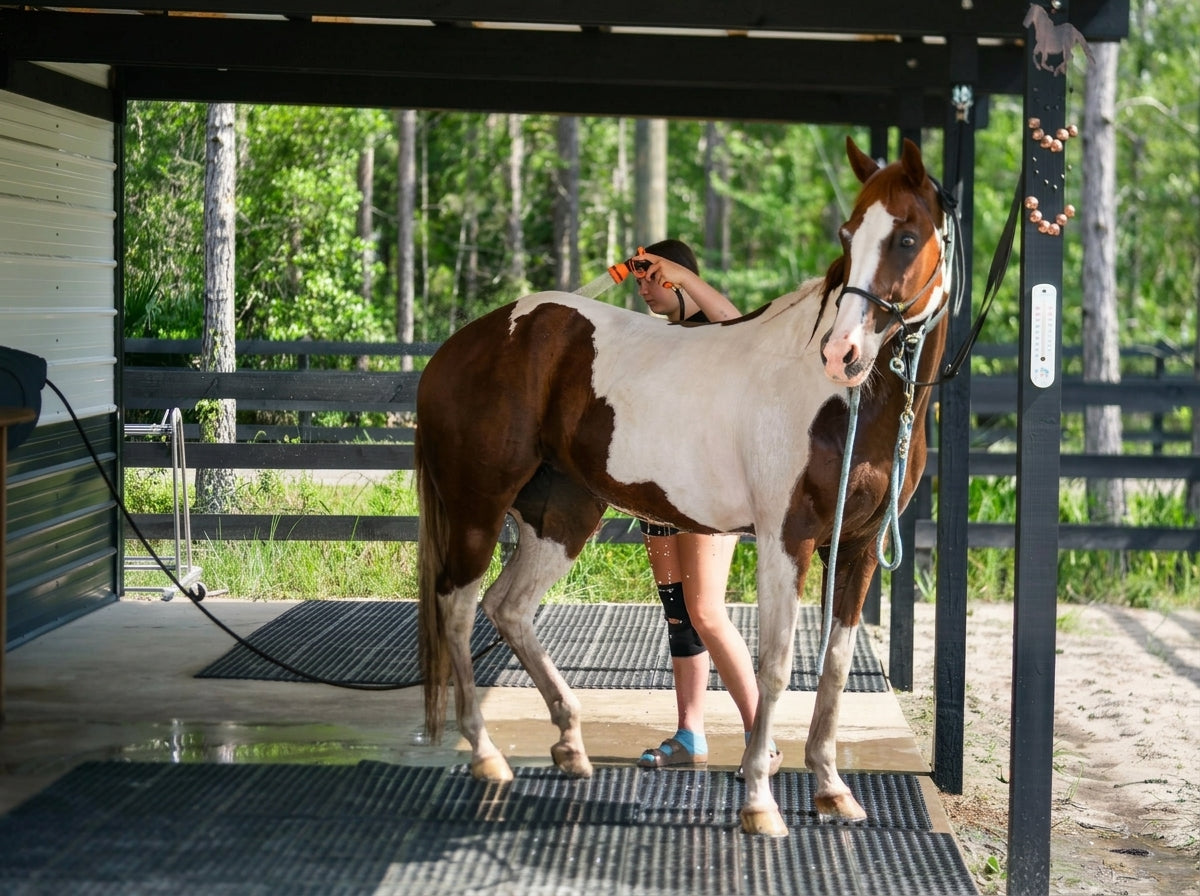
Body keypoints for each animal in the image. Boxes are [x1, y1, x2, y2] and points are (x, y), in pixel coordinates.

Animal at [415, 136, 955, 836]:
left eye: (908, 237)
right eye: (847, 233)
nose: (843, 352)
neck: (849, 405)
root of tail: (462, 345)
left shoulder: (859, 547)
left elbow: (835, 665)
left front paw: (832, 789)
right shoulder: (787, 539)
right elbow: (775, 665)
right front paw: (759, 802)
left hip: (561, 518)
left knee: (506, 606)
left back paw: (569, 743)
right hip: (476, 509)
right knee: (456, 607)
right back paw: (485, 755)